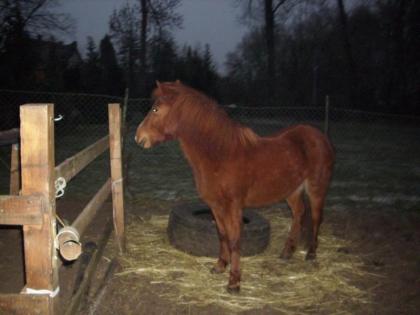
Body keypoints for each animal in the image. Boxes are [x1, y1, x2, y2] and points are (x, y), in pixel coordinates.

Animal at [135, 81, 334, 294]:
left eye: (156, 109)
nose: (139, 137)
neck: (221, 154)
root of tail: (318, 136)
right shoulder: (215, 205)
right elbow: (222, 235)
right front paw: (220, 266)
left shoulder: (234, 206)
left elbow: (234, 239)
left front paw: (234, 282)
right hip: (292, 191)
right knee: (299, 213)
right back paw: (287, 252)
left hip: (316, 189)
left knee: (316, 218)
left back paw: (311, 254)